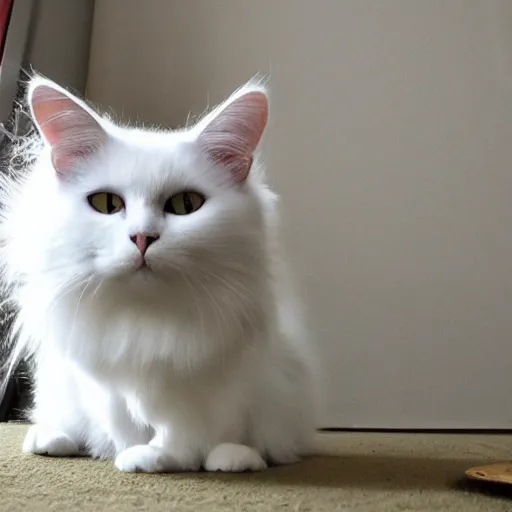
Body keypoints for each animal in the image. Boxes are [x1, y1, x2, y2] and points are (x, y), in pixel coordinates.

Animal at [0, 75, 316, 472]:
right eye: (106, 204)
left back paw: (236, 458)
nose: (142, 237)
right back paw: (53, 439)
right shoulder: (105, 378)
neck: (147, 319)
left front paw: (163, 457)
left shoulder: (208, 376)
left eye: (185, 205)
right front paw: (132, 453)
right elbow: (122, 419)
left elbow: (184, 427)